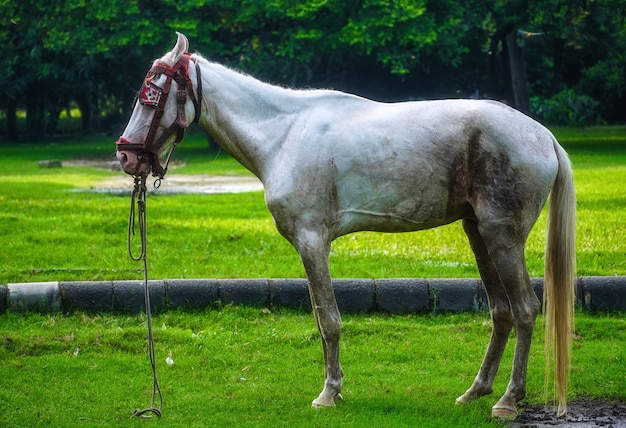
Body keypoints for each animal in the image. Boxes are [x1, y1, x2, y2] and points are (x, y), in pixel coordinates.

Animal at [114, 32, 572, 418]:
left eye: (151, 96)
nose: (125, 156)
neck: (284, 135)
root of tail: (543, 137)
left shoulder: (312, 241)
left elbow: (328, 320)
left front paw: (329, 392)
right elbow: (323, 320)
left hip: (502, 238)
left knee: (526, 310)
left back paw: (508, 400)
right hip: (478, 233)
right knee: (501, 311)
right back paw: (476, 390)